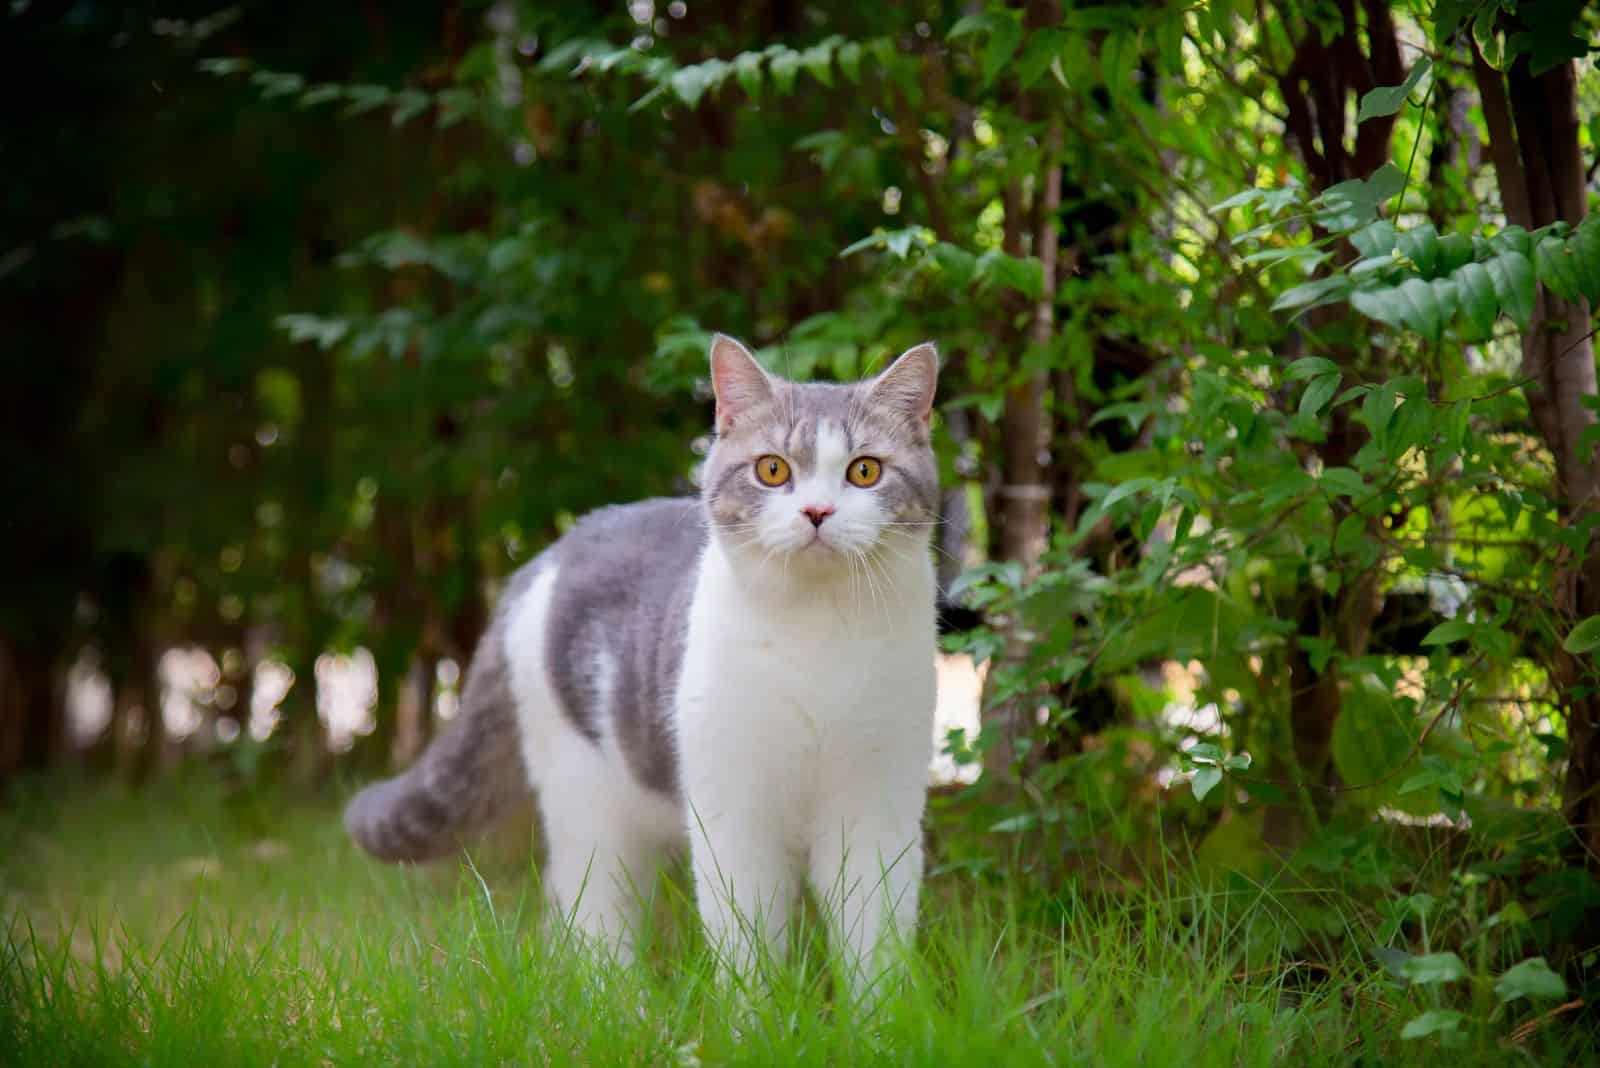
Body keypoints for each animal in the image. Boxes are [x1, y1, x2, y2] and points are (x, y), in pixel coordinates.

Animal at [342, 335, 934, 991]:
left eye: (865, 471)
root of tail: (550, 552)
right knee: (595, 921)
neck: (818, 635)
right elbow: (748, 937)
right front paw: (755, 1012)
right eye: (773, 469)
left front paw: (877, 1014)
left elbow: (873, 938)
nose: (819, 511)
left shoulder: (879, 807)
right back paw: (624, 1003)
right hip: (590, 807)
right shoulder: (733, 814)